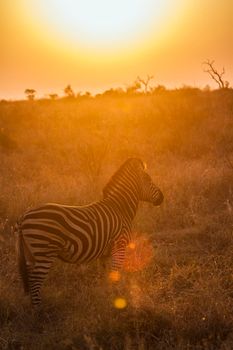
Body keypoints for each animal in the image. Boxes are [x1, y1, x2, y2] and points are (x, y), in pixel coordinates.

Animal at [15, 159, 164, 306]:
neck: (120, 208)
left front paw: (106, 298)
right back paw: (39, 309)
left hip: (31, 254)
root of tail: (24, 216)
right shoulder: (120, 246)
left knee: (31, 281)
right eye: (148, 179)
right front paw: (116, 298)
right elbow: (115, 274)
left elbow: (106, 277)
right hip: (44, 252)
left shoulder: (105, 253)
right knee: (35, 282)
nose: (162, 198)